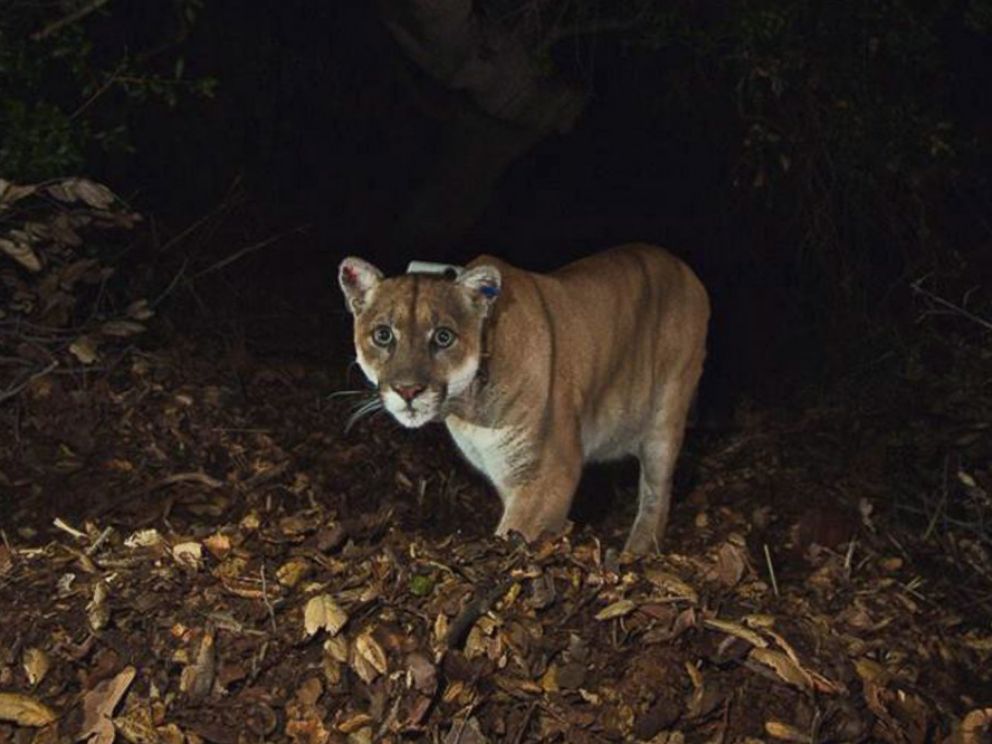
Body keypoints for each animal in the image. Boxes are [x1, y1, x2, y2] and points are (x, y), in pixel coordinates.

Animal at [338, 244, 708, 552]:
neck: (468, 408)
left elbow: (515, 534)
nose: (408, 390)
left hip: (665, 417)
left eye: (443, 337)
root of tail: (683, 267)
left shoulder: (549, 471)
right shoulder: (507, 471)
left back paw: (637, 551)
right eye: (383, 335)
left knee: (657, 492)